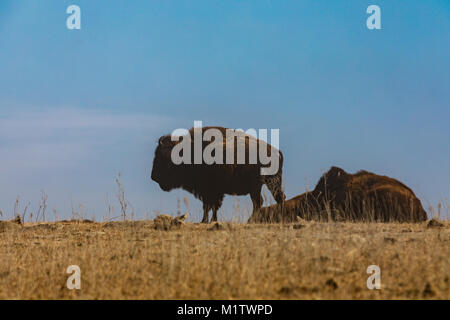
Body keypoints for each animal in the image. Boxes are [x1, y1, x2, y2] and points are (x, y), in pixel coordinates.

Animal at [151, 125, 284, 222]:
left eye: (162, 157)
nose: (153, 177)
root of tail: (275, 151)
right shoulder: (207, 191)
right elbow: (208, 206)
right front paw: (207, 221)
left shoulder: (212, 191)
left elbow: (211, 206)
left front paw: (208, 221)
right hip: (261, 186)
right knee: (268, 200)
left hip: (262, 185)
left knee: (264, 201)